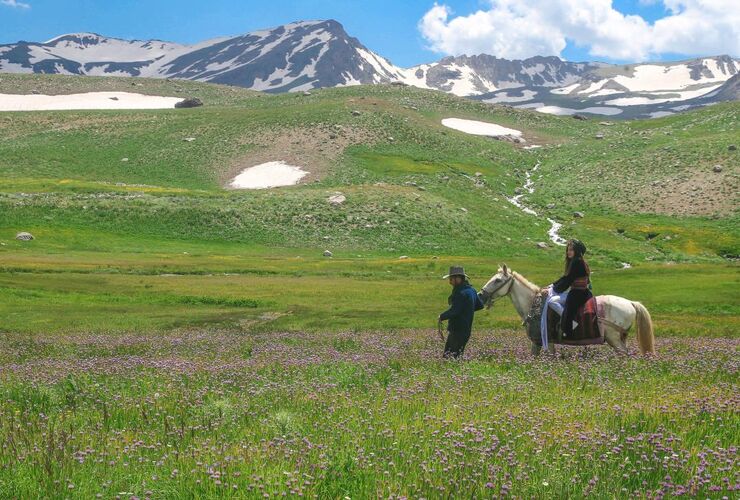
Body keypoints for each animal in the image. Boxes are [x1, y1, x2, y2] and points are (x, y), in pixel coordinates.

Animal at [482, 266, 656, 356]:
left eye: (498, 280)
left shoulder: (545, 341)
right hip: (620, 338)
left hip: (613, 339)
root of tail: (631, 303)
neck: (533, 304)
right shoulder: (539, 343)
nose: (481, 295)